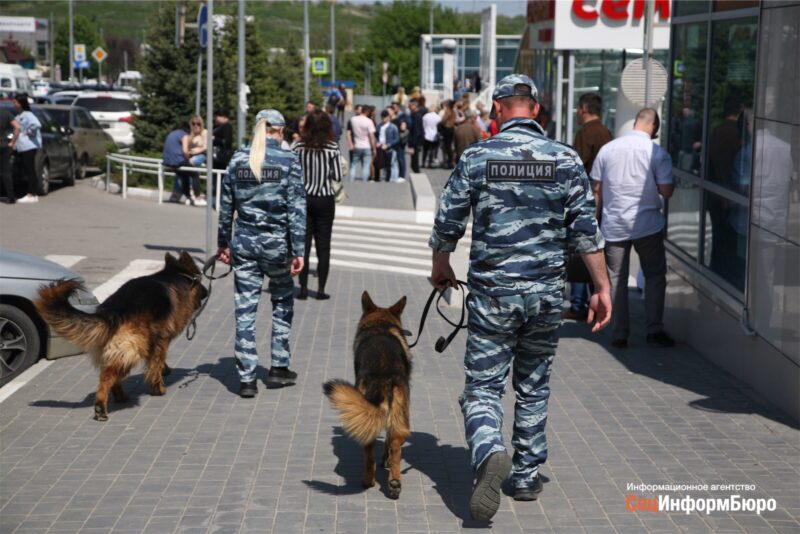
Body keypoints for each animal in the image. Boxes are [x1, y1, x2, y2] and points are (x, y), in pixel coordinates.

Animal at [36, 251, 208, 422]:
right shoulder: (162, 339)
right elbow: (156, 364)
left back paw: (119, 396)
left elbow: (154, 362)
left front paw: (164, 371)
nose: (207, 292)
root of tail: (112, 310)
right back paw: (101, 406)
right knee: (107, 376)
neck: (174, 275)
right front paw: (158, 387)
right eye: (200, 280)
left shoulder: (155, 341)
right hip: (133, 348)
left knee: (111, 374)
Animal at [324, 292, 412, 500]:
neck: (380, 324)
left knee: (373, 446)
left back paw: (378, 480)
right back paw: (385, 481)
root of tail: (382, 372)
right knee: (393, 443)